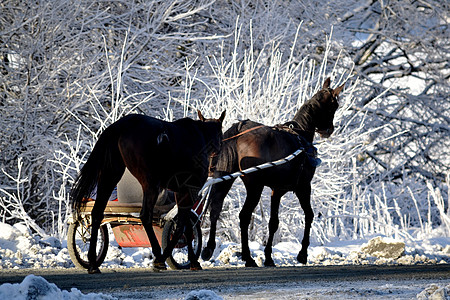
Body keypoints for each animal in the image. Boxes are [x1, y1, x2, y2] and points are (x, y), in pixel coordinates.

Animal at [71, 109, 225, 274]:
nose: (214, 167)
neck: (200, 136)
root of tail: (121, 125)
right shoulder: (189, 190)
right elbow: (183, 226)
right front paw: (176, 258)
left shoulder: (181, 192)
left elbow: (187, 225)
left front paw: (191, 260)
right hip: (150, 184)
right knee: (145, 216)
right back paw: (158, 256)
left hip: (109, 176)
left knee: (97, 213)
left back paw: (93, 263)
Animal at [201, 78, 344, 268]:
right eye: (334, 106)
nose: (329, 130)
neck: (300, 135)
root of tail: (239, 129)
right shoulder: (303, 187)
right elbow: (309, 215)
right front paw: (302, 254)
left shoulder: (277, 190)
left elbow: (273, 223)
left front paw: (268, 257)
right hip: (255, 186)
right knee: (244, 216)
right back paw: (248, 257)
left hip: (224, 178)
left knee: (216, 208)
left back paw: (209, 248)